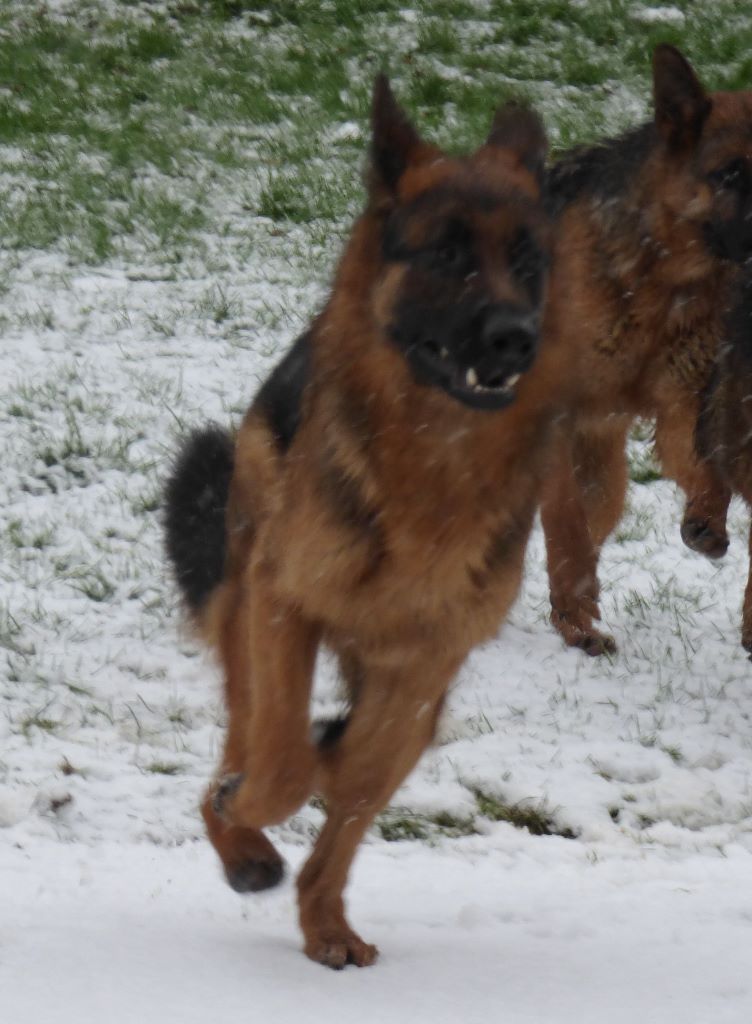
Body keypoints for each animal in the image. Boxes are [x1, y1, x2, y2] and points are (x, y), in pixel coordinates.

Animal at [164, 79, 569, 966]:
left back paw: (326, 922)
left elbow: (351, 782)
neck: (431, 462)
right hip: (248, 612)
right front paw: (252, 808)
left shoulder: (425, 665)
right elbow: (281, 766)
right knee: (246, 747)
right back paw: (241, 838)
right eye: (445, 255)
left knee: (346, 798)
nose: (515, 338)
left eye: (529, 261)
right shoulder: (286, 605)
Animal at [540, 41, 752, 655]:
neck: (661, 281)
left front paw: (707, 518)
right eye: (732, 173)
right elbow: (563, 520)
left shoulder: (684, 403)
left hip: (607, 477)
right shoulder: (556, 414)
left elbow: (705, 467)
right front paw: (578, 595)